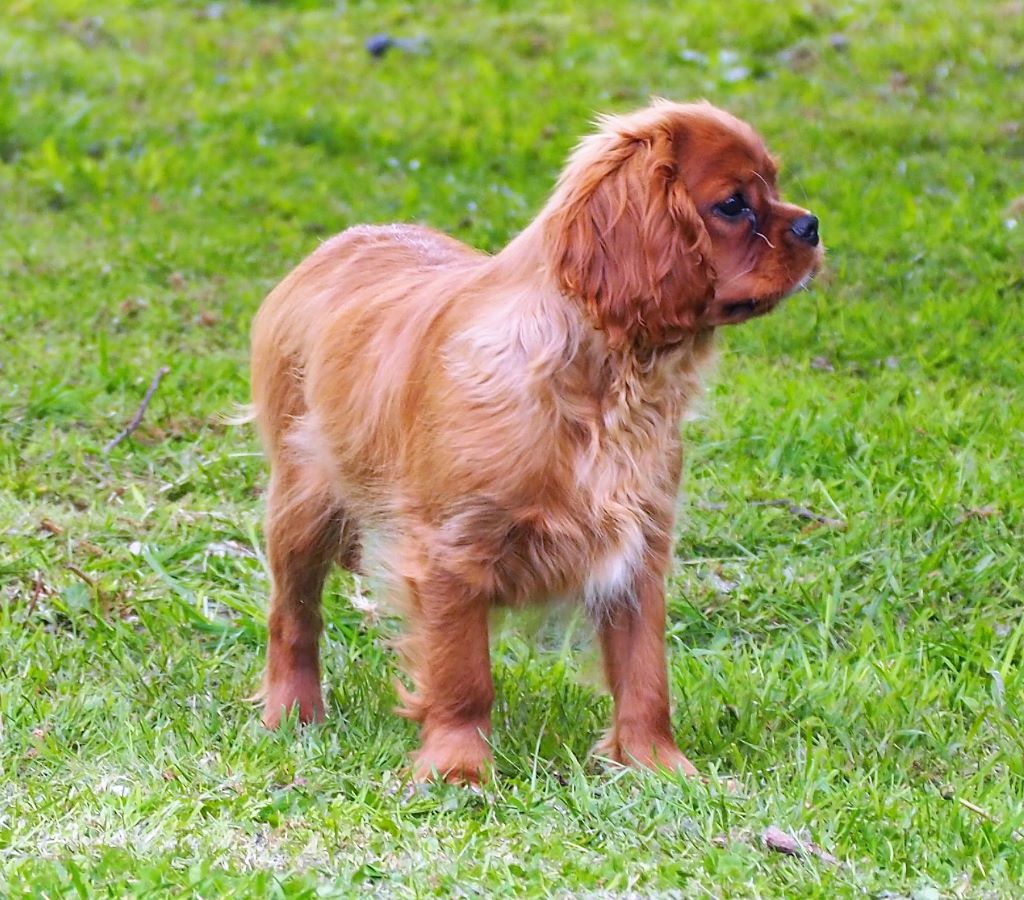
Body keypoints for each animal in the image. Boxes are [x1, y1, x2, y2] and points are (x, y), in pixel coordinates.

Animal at [249, 100, 823, 782]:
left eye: (776, 186)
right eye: (734, 205)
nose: (812, 225)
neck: (608, 387)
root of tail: (339, 243)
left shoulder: (639, 552)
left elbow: (645, 673)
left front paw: (658, 765)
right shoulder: (451, 551)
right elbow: (464, 675)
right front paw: (459, 768)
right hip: (303, 507)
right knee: (293, 616)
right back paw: (292, 713)